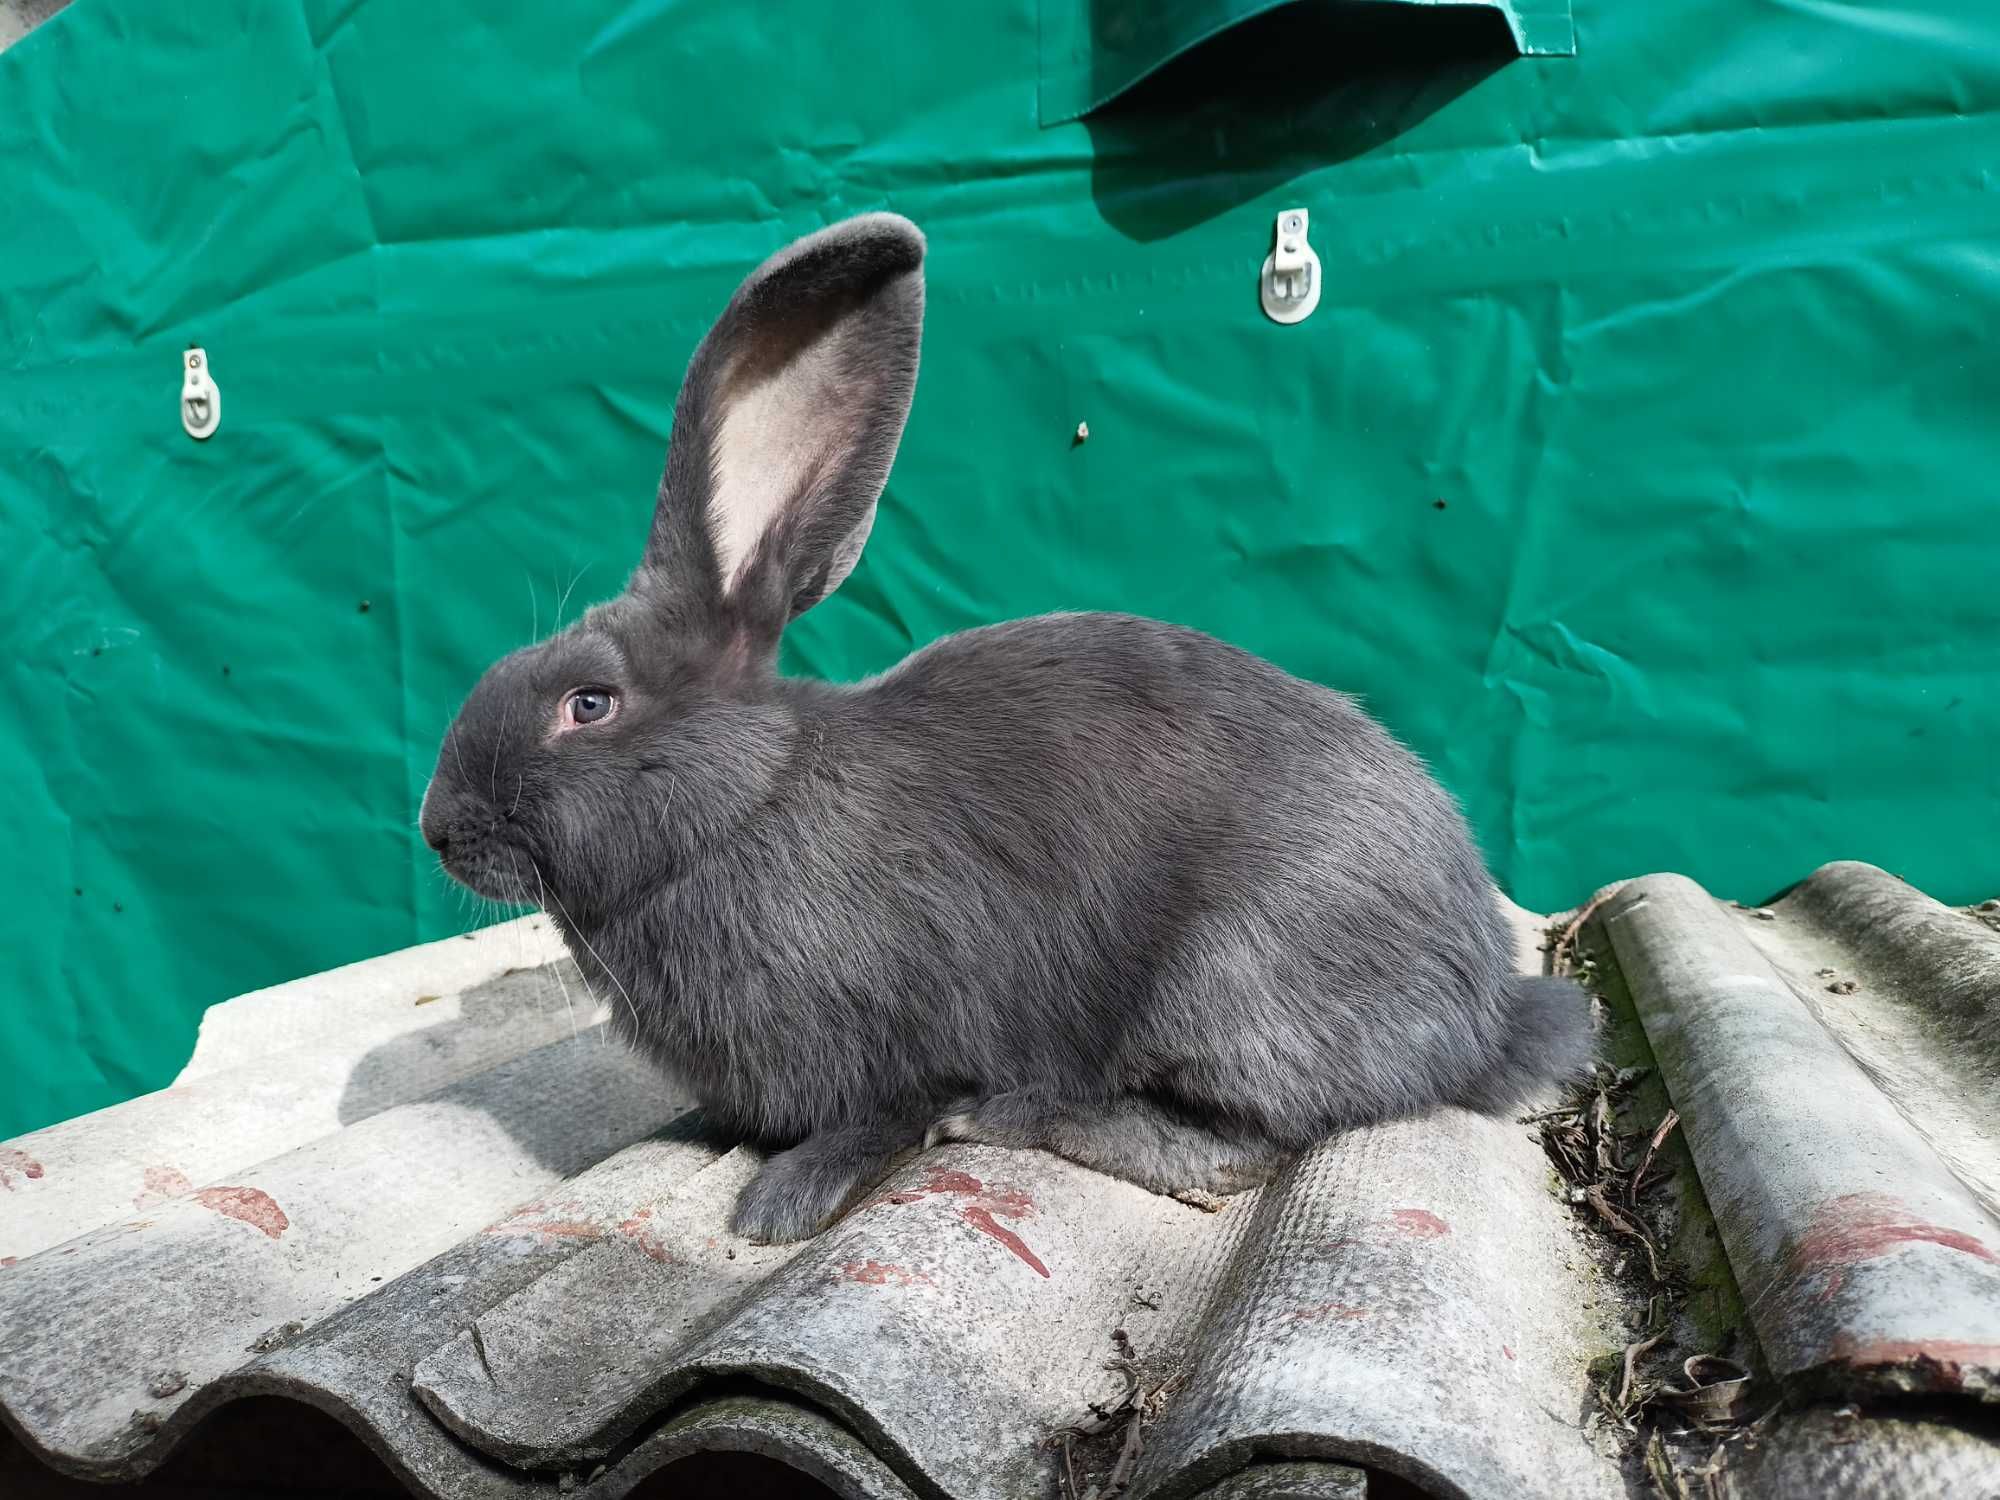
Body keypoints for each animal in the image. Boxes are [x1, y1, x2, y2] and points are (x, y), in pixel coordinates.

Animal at [422, 212, 1592, 1248]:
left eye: (589, 704)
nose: (437, 828)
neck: (746, 803)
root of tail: (1483, 1016)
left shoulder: (897, 1037)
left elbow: (881, 1112)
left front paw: (782, 1201)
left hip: (1233, 974)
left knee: (1239, 1141)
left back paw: (1017, 1115)